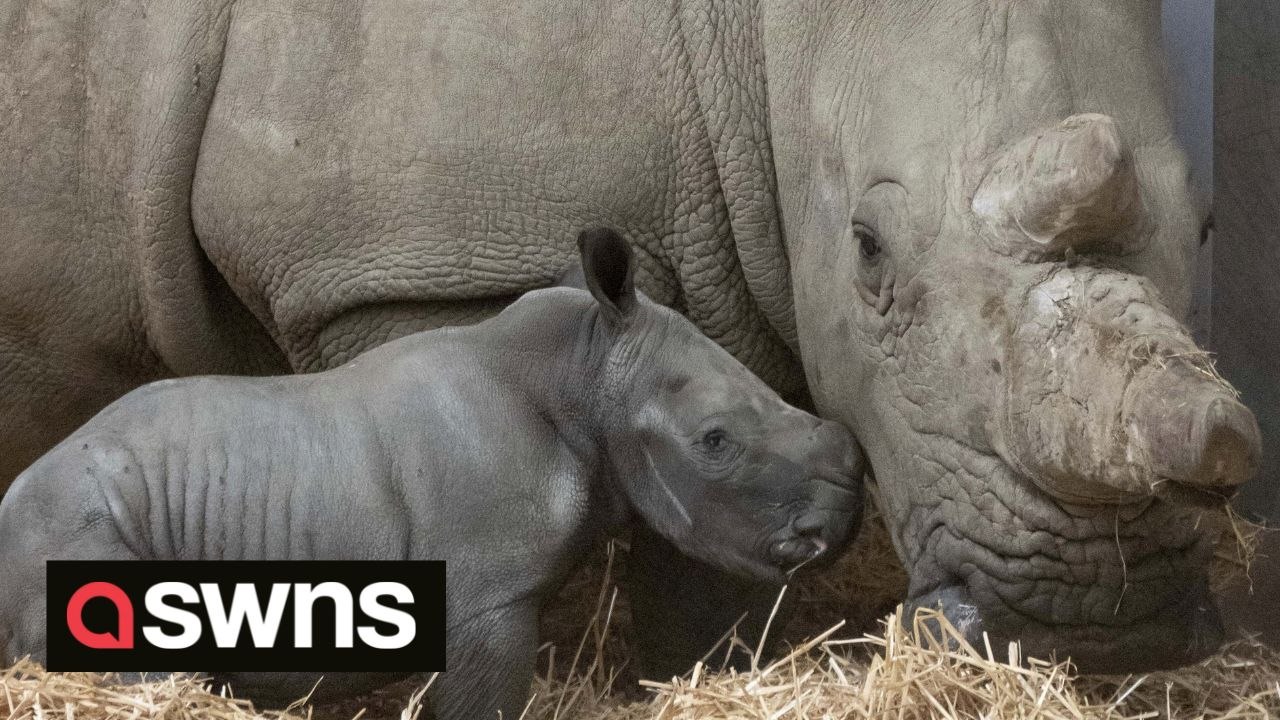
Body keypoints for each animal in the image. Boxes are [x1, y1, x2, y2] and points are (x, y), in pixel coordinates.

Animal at [0, 0, 1262, 674]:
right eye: (865, 251)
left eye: (1207, 225)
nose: (1097, 627)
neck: (770, 39)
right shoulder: (403, 262)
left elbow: (708, 504)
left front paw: (696, 670)